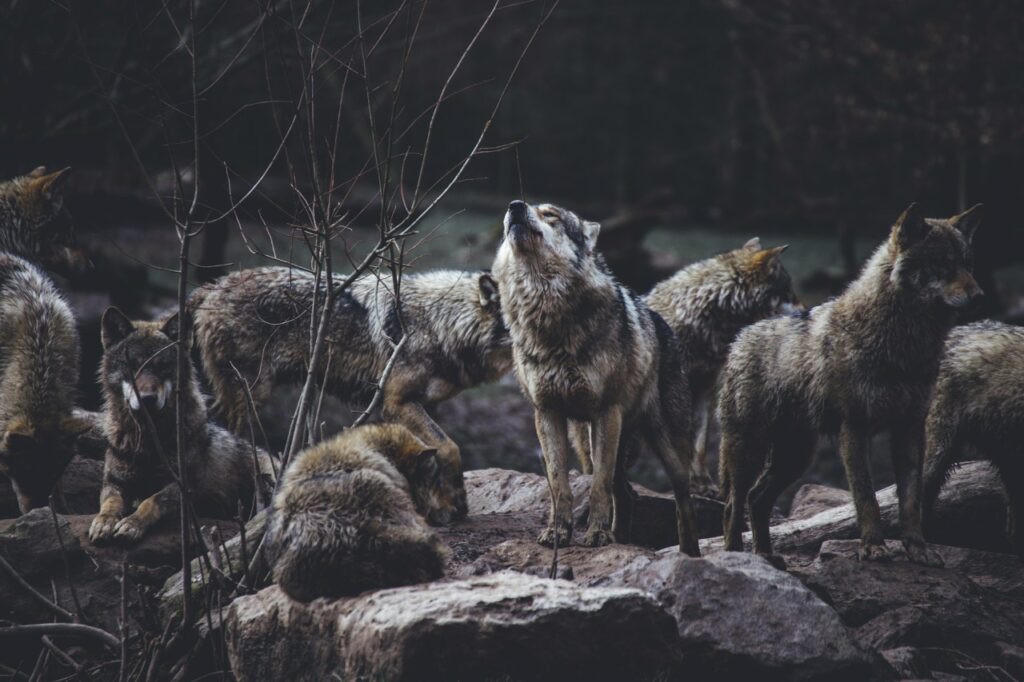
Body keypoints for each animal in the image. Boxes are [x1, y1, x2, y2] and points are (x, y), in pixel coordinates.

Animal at [88, 307, 276, 544]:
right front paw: (103, 522)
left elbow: (151, 501)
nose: (147, 398)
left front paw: (132, 524)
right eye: (133, 366)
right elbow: (110, 503)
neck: (149, 440)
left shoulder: (184, 487)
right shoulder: (114, 483)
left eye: (163, 367)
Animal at [189, 267, 511, 522]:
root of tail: (212, 286)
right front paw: (456, 502)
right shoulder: (396, 402)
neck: (441, 322)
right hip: (251, 396)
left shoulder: (427, 405)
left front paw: (443, 506)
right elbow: (450, 447)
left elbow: (434, 455)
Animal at [492, 199, 699, 554]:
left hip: (666, 448)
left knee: (682, 502)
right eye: (524, 206)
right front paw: (558, 533)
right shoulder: (546, 413)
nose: (515, 206)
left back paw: (690, 554)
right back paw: (622, 539)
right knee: (626, 494)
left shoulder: (605, 412)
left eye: (551, 215)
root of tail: (661, 322)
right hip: (589, 442)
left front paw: (598, 535)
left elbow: (598, 487)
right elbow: (558, 484)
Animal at [719, 203, 983, 565]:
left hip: (796, 456)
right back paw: (737, 557)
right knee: (734, 503)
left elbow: (911, 501)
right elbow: (866, 497)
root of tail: (741, 336)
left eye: (968, 264)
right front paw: (873, 547)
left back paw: (767, 556)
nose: (979, 295)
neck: (903, 343)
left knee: (757, 498)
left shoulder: (910, 428)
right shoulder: (854, 428)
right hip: (751, 450)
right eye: (942, 264)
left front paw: (918, 549)